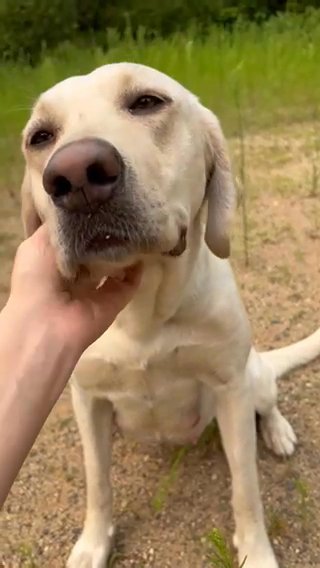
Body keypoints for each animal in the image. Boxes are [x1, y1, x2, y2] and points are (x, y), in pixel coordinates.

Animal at [21, 63, 318, 568]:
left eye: (147, 102)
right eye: (40, 136)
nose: (75, 175)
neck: (143, 311)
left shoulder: (231, 390)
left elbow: (247, 489)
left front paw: (256, 551)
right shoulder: (87, 399)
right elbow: (98, 483)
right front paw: (94, 543)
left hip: (253, 378)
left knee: (269, 403)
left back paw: (278, 433)